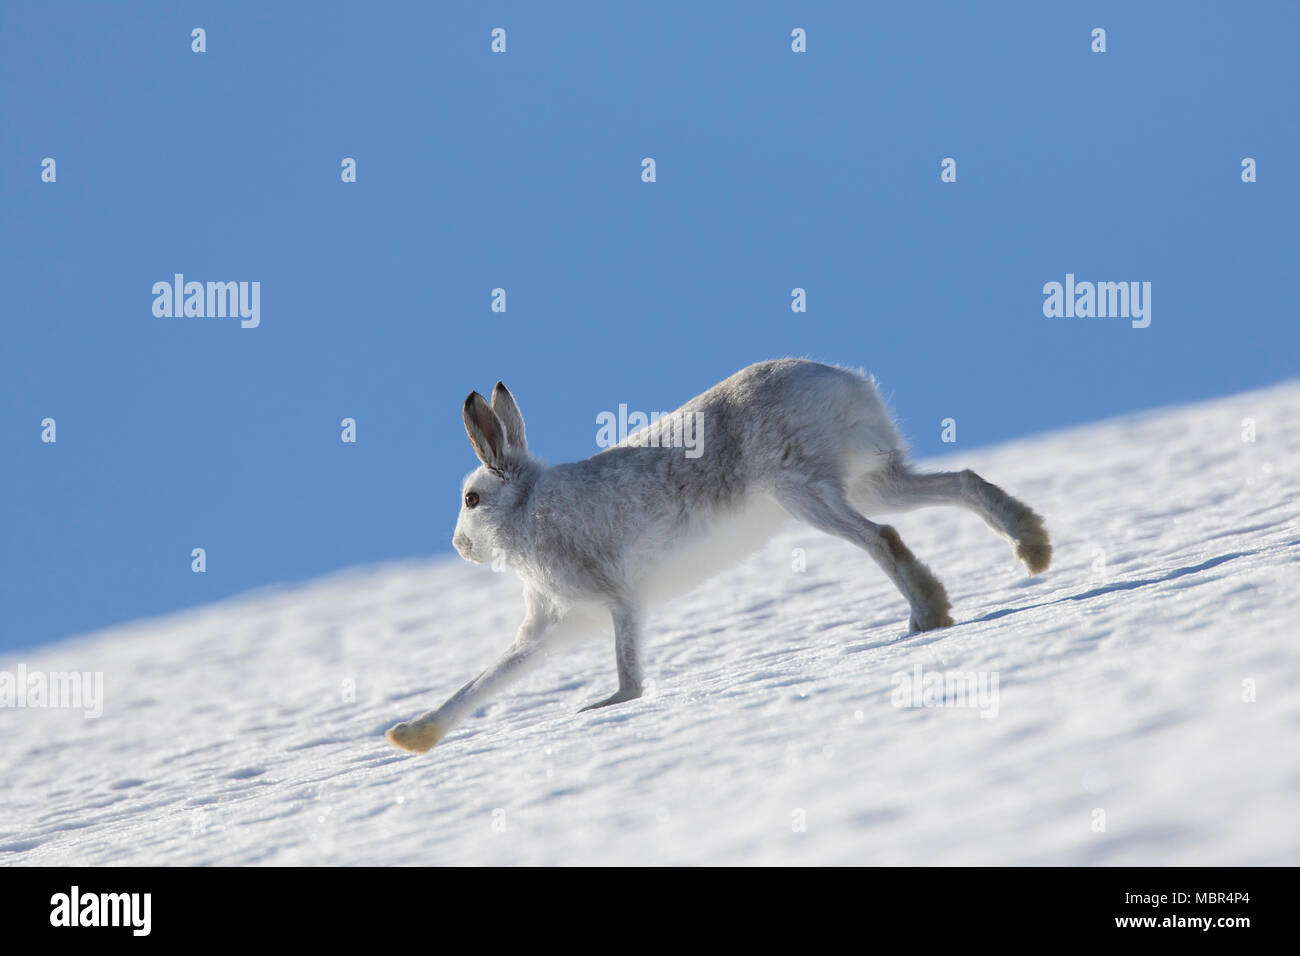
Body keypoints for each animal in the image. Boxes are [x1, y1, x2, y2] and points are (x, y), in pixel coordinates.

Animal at [386, 358, 1051, 753]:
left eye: (471, 500)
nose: (459, 547)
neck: (526, 505)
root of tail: (843, 380)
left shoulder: (612, 600)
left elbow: (627, 668)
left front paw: (607, 705)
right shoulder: (549, 624)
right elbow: (488, 678)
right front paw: (410, 737)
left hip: (799, 489)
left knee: (881, 537)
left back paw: (929, 614)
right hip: (868, 480)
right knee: (958, 483)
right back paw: (1029, 548)